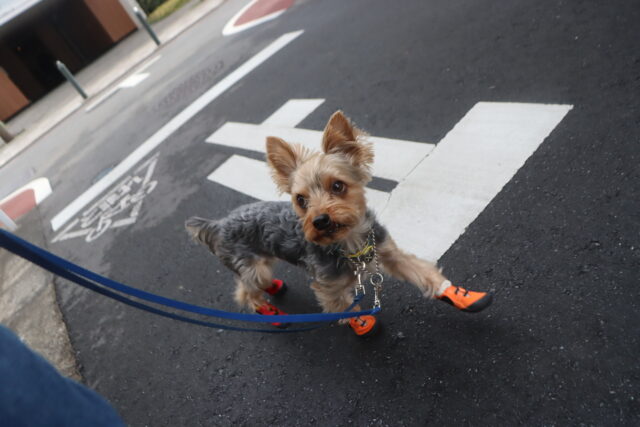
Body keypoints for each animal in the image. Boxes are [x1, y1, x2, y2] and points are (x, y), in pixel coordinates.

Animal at [186, 111, 492, 336]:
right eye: (300, 199)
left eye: (337, 186)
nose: (320, 220)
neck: (349, 243)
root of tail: (218, 224)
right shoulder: (328, 286)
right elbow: (344, 306)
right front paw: (362, 324)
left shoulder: (388, 253)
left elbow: (423, 273)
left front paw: (461, 294)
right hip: (251, 265)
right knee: (245, 293)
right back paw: (271, 313)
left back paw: (274, 287)